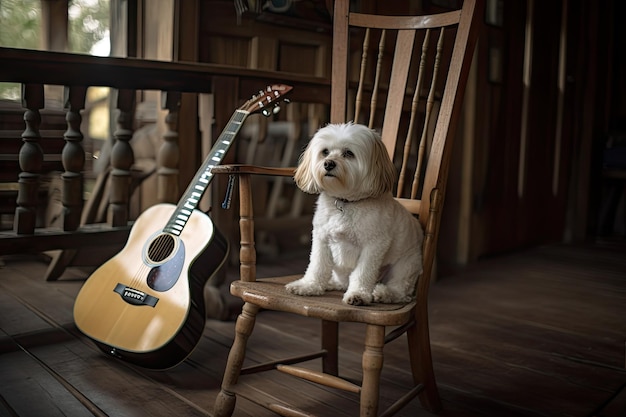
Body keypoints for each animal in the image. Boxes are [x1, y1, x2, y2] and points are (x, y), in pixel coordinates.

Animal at [284, 122, 424, 304]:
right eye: (325, 152)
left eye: (348, 153)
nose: (328, 164)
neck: (346, 202)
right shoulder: (321, 239)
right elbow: (317, 265)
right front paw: (309, 285)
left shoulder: (374, 246)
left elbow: (363, 273)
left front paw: (358, 294)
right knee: (341, 281)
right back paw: (331, 283)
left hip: (405, 265)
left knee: (400, 290)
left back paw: (383, 293)